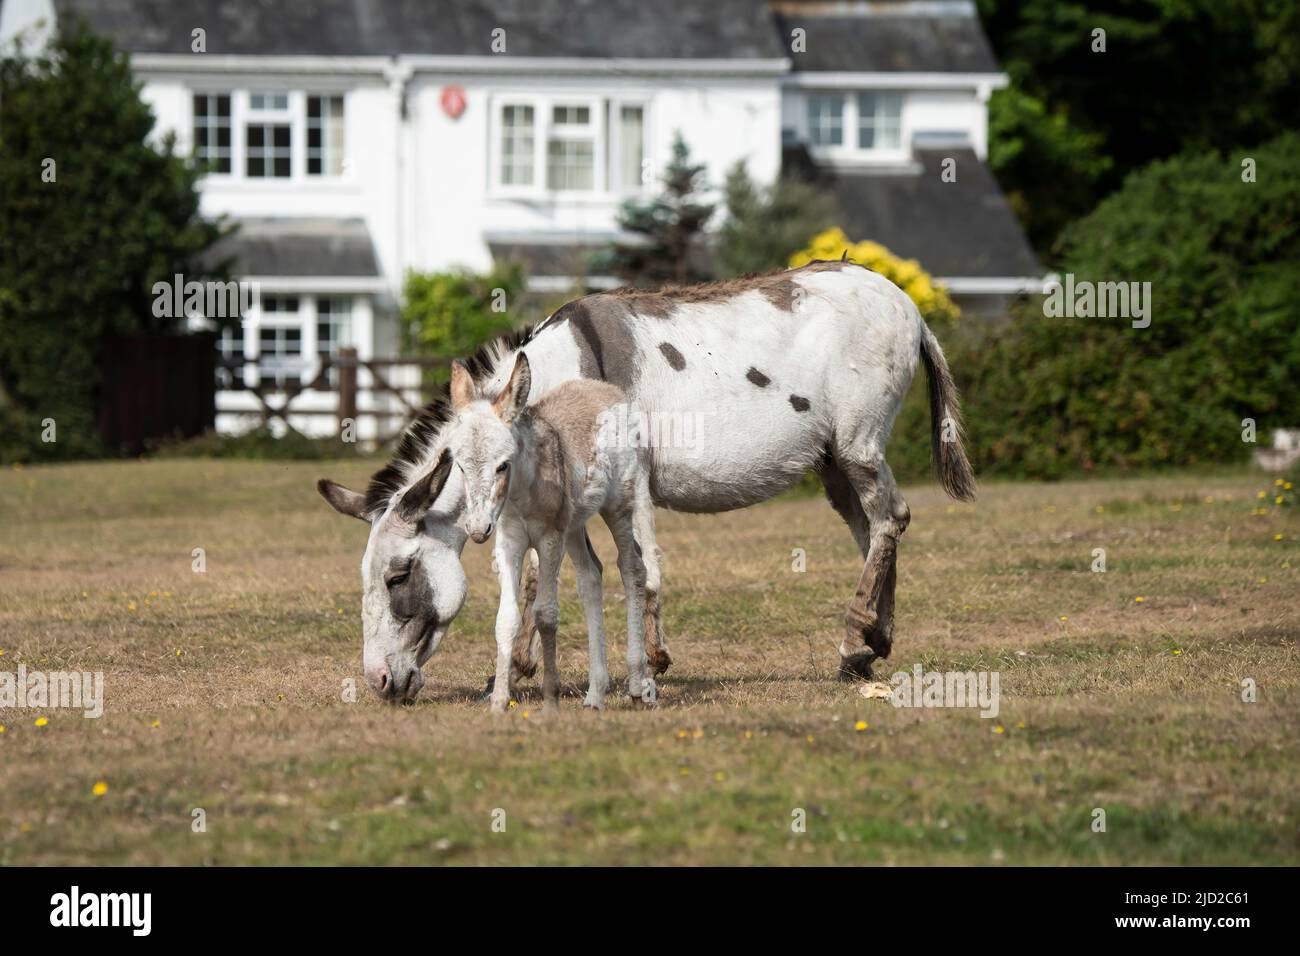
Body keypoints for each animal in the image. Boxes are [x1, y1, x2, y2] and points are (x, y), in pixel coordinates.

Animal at [447, 356, 660, 712]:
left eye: (502, 465)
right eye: (460, 467)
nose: (476, 530)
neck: (524, 490)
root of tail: (606, 389)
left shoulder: (548, 541)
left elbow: (546, 614)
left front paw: (550, 699)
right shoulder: (510, 541)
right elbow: (506, 619)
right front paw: (499, 702)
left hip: (618, 507)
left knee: (632, 569)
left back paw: (635, 684)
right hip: (573, 525)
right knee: (591, 577)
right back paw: (595, 695)